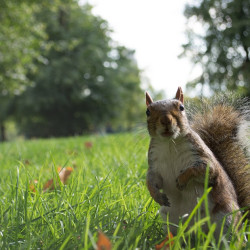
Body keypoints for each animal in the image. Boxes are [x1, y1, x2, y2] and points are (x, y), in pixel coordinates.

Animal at [146, 87, 249, 238]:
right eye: (148, 111)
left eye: (181, 107)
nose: (165, 120)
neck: (169, 143)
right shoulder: (154, 166)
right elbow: (152, 181)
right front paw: (156, 195)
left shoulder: (202, 156)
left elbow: (205, 170)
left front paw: (182, 180)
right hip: (168, 219)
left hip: (226, 217)